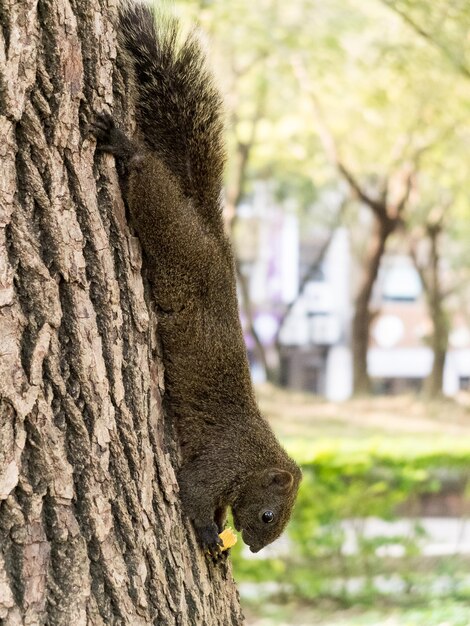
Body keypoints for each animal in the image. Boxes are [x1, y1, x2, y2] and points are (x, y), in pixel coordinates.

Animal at [91, 1, 302, 556]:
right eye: (269, 515)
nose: (255, 549)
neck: (255, 456)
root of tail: (215, 237)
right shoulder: (221, 461)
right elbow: (193, 492)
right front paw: (209, 533)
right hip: (174, 236)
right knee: (150, 184)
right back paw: (125, 146)